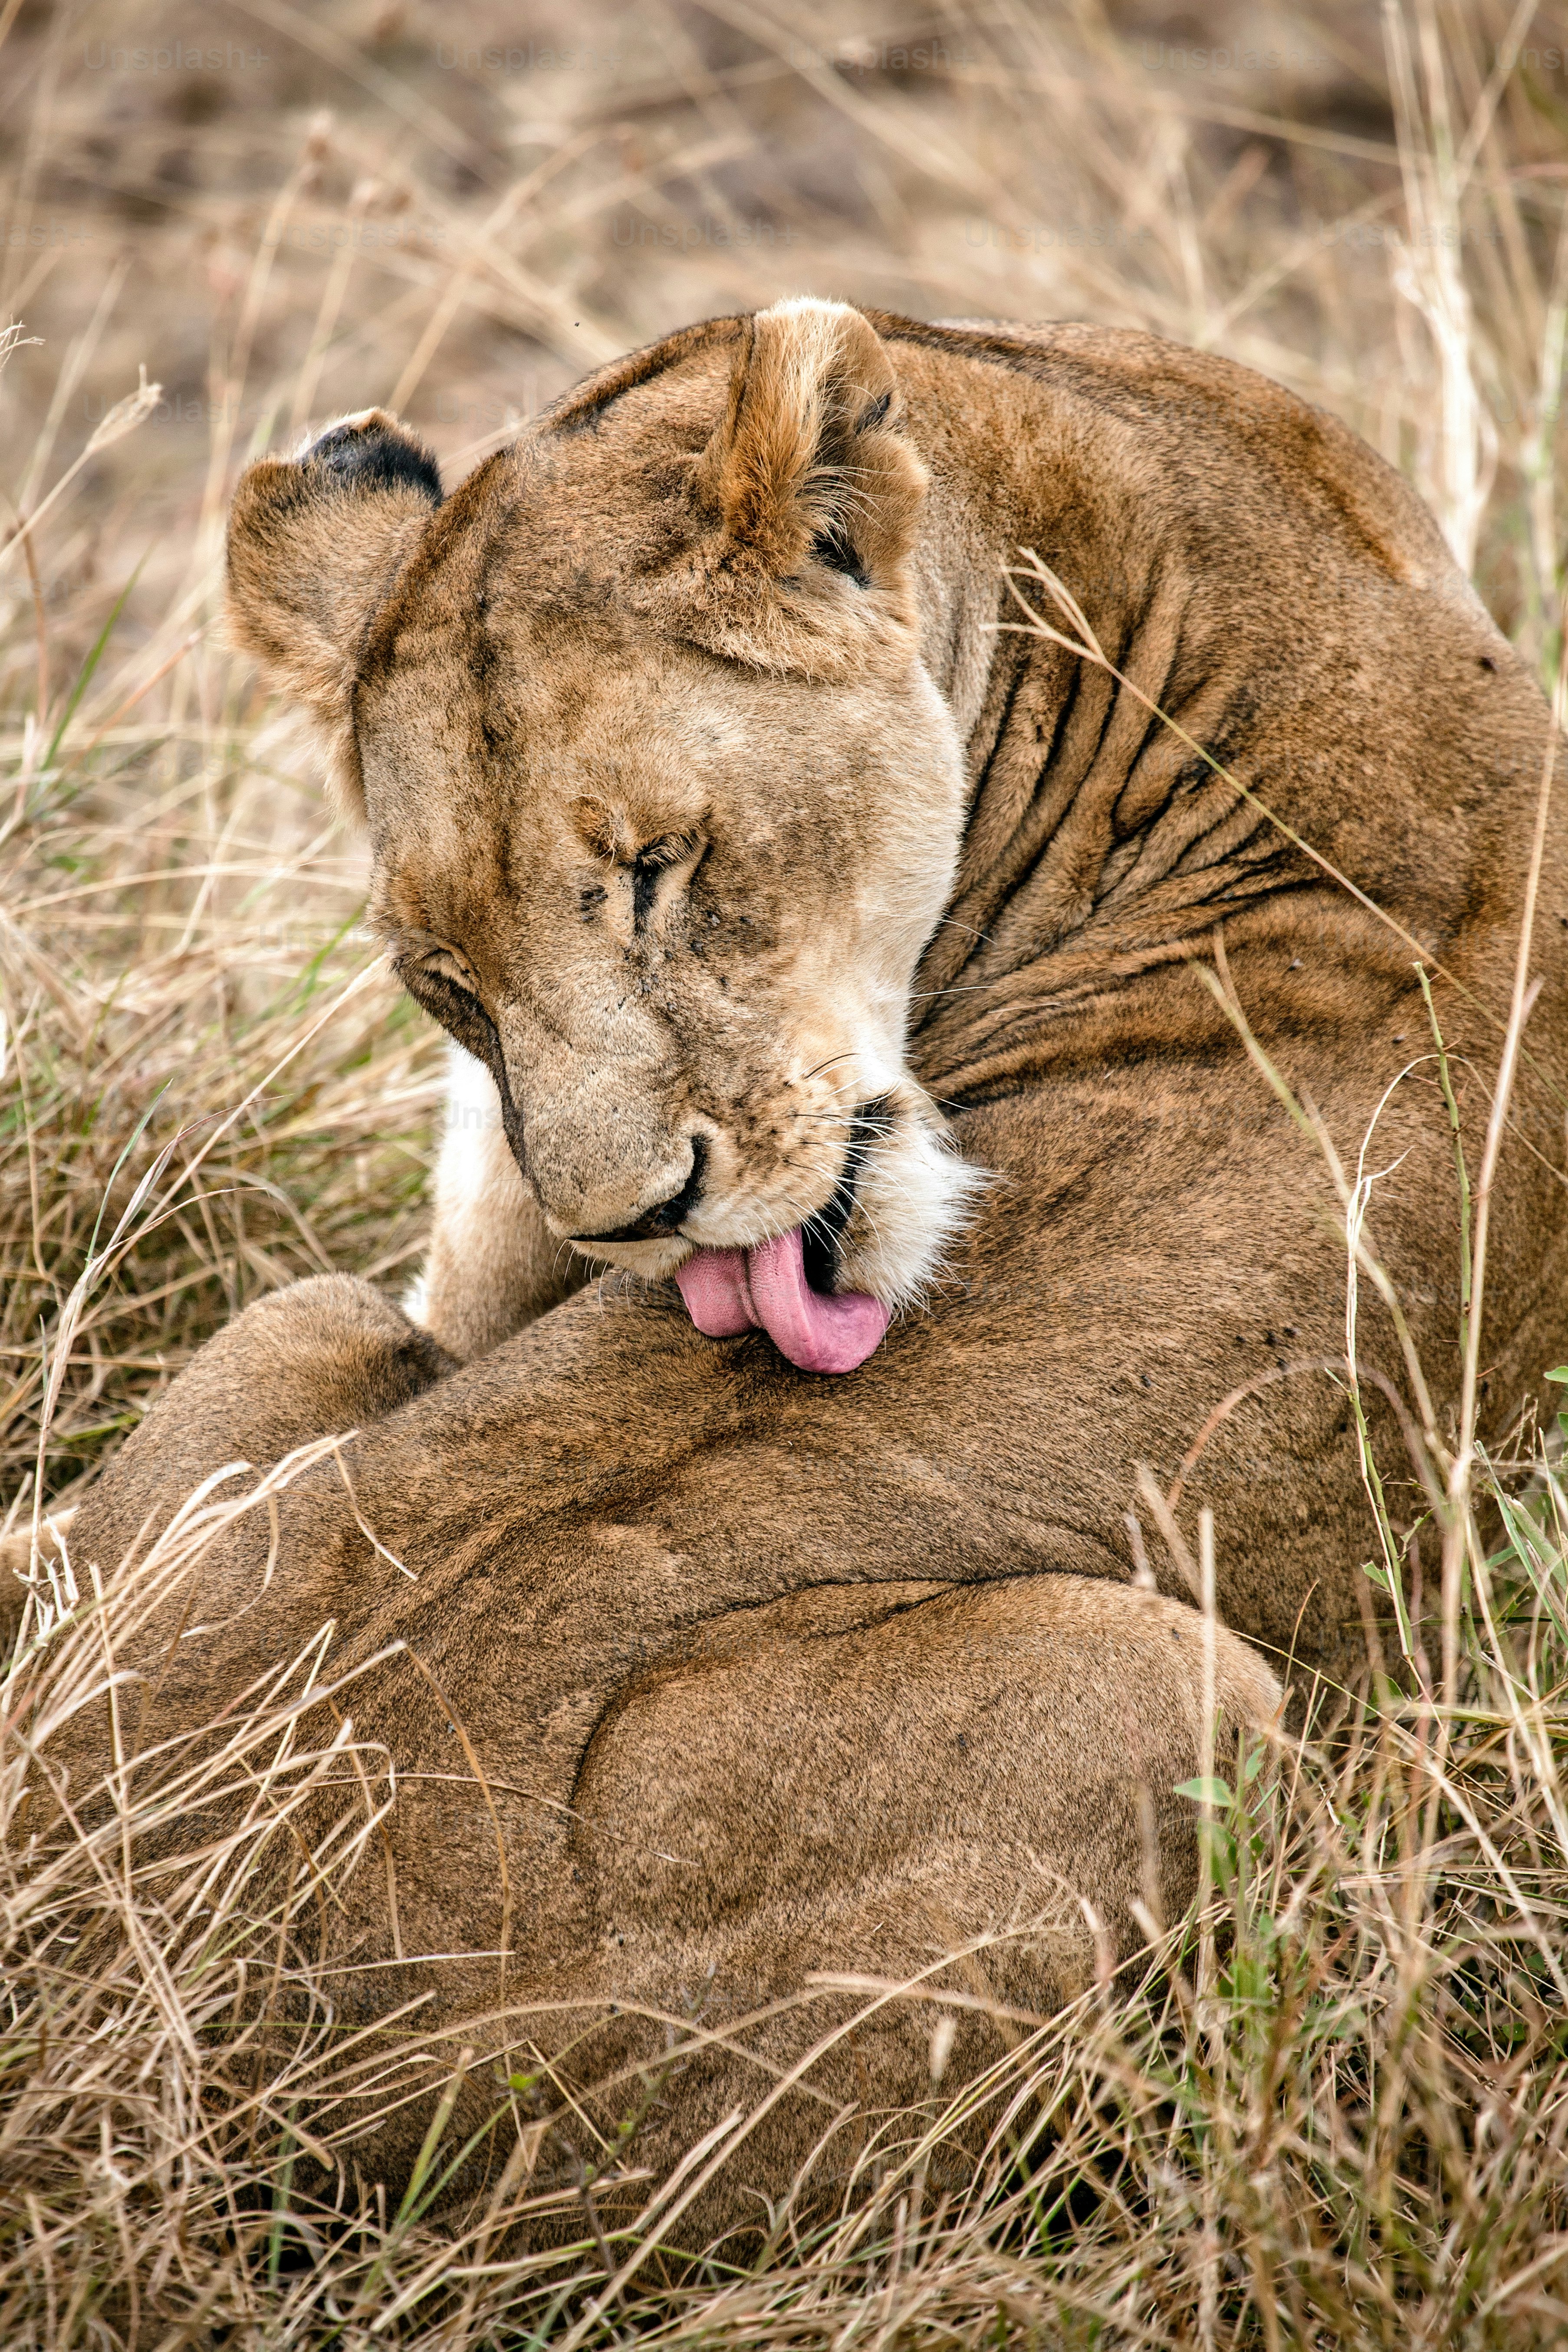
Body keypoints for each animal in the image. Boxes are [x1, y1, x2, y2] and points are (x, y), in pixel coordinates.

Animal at [43, 301, 1568, 2236]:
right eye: (443, 975)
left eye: (658, 867)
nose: (625, 1216)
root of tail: (127, 1951)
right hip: (1169, 1688)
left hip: (300, 1319)